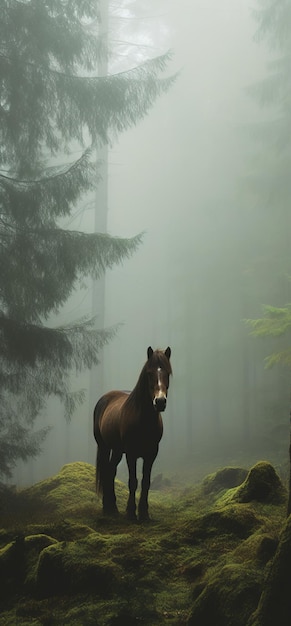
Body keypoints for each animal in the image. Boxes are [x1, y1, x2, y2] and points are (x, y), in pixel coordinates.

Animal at [93, 344, 172, 520]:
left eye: (168, 373)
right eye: (149, 373)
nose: (160, 402)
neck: (143, 419)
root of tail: (105, 398)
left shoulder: (151, 453)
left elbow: (146, 481)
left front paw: (144, 513)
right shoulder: (131, 453)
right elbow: (133, 481)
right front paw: (130, 512)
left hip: (117, 450)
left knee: (111, 470)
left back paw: (113, 507)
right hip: (104, 446)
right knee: (106, 470)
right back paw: (107, 507)